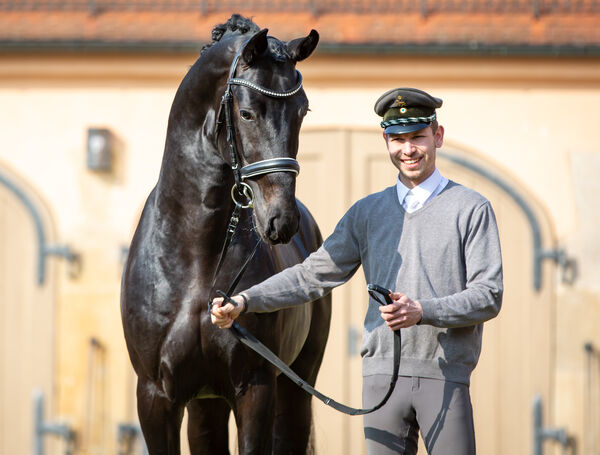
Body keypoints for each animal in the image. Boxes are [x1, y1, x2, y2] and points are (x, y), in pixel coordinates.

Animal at [119, 14, 330, 455]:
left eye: (302, 111)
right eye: (247, 113)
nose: (281, 221)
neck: (195, 259)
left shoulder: (256, 388)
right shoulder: (155, 397)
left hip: (296, 388)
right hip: (205, 403)